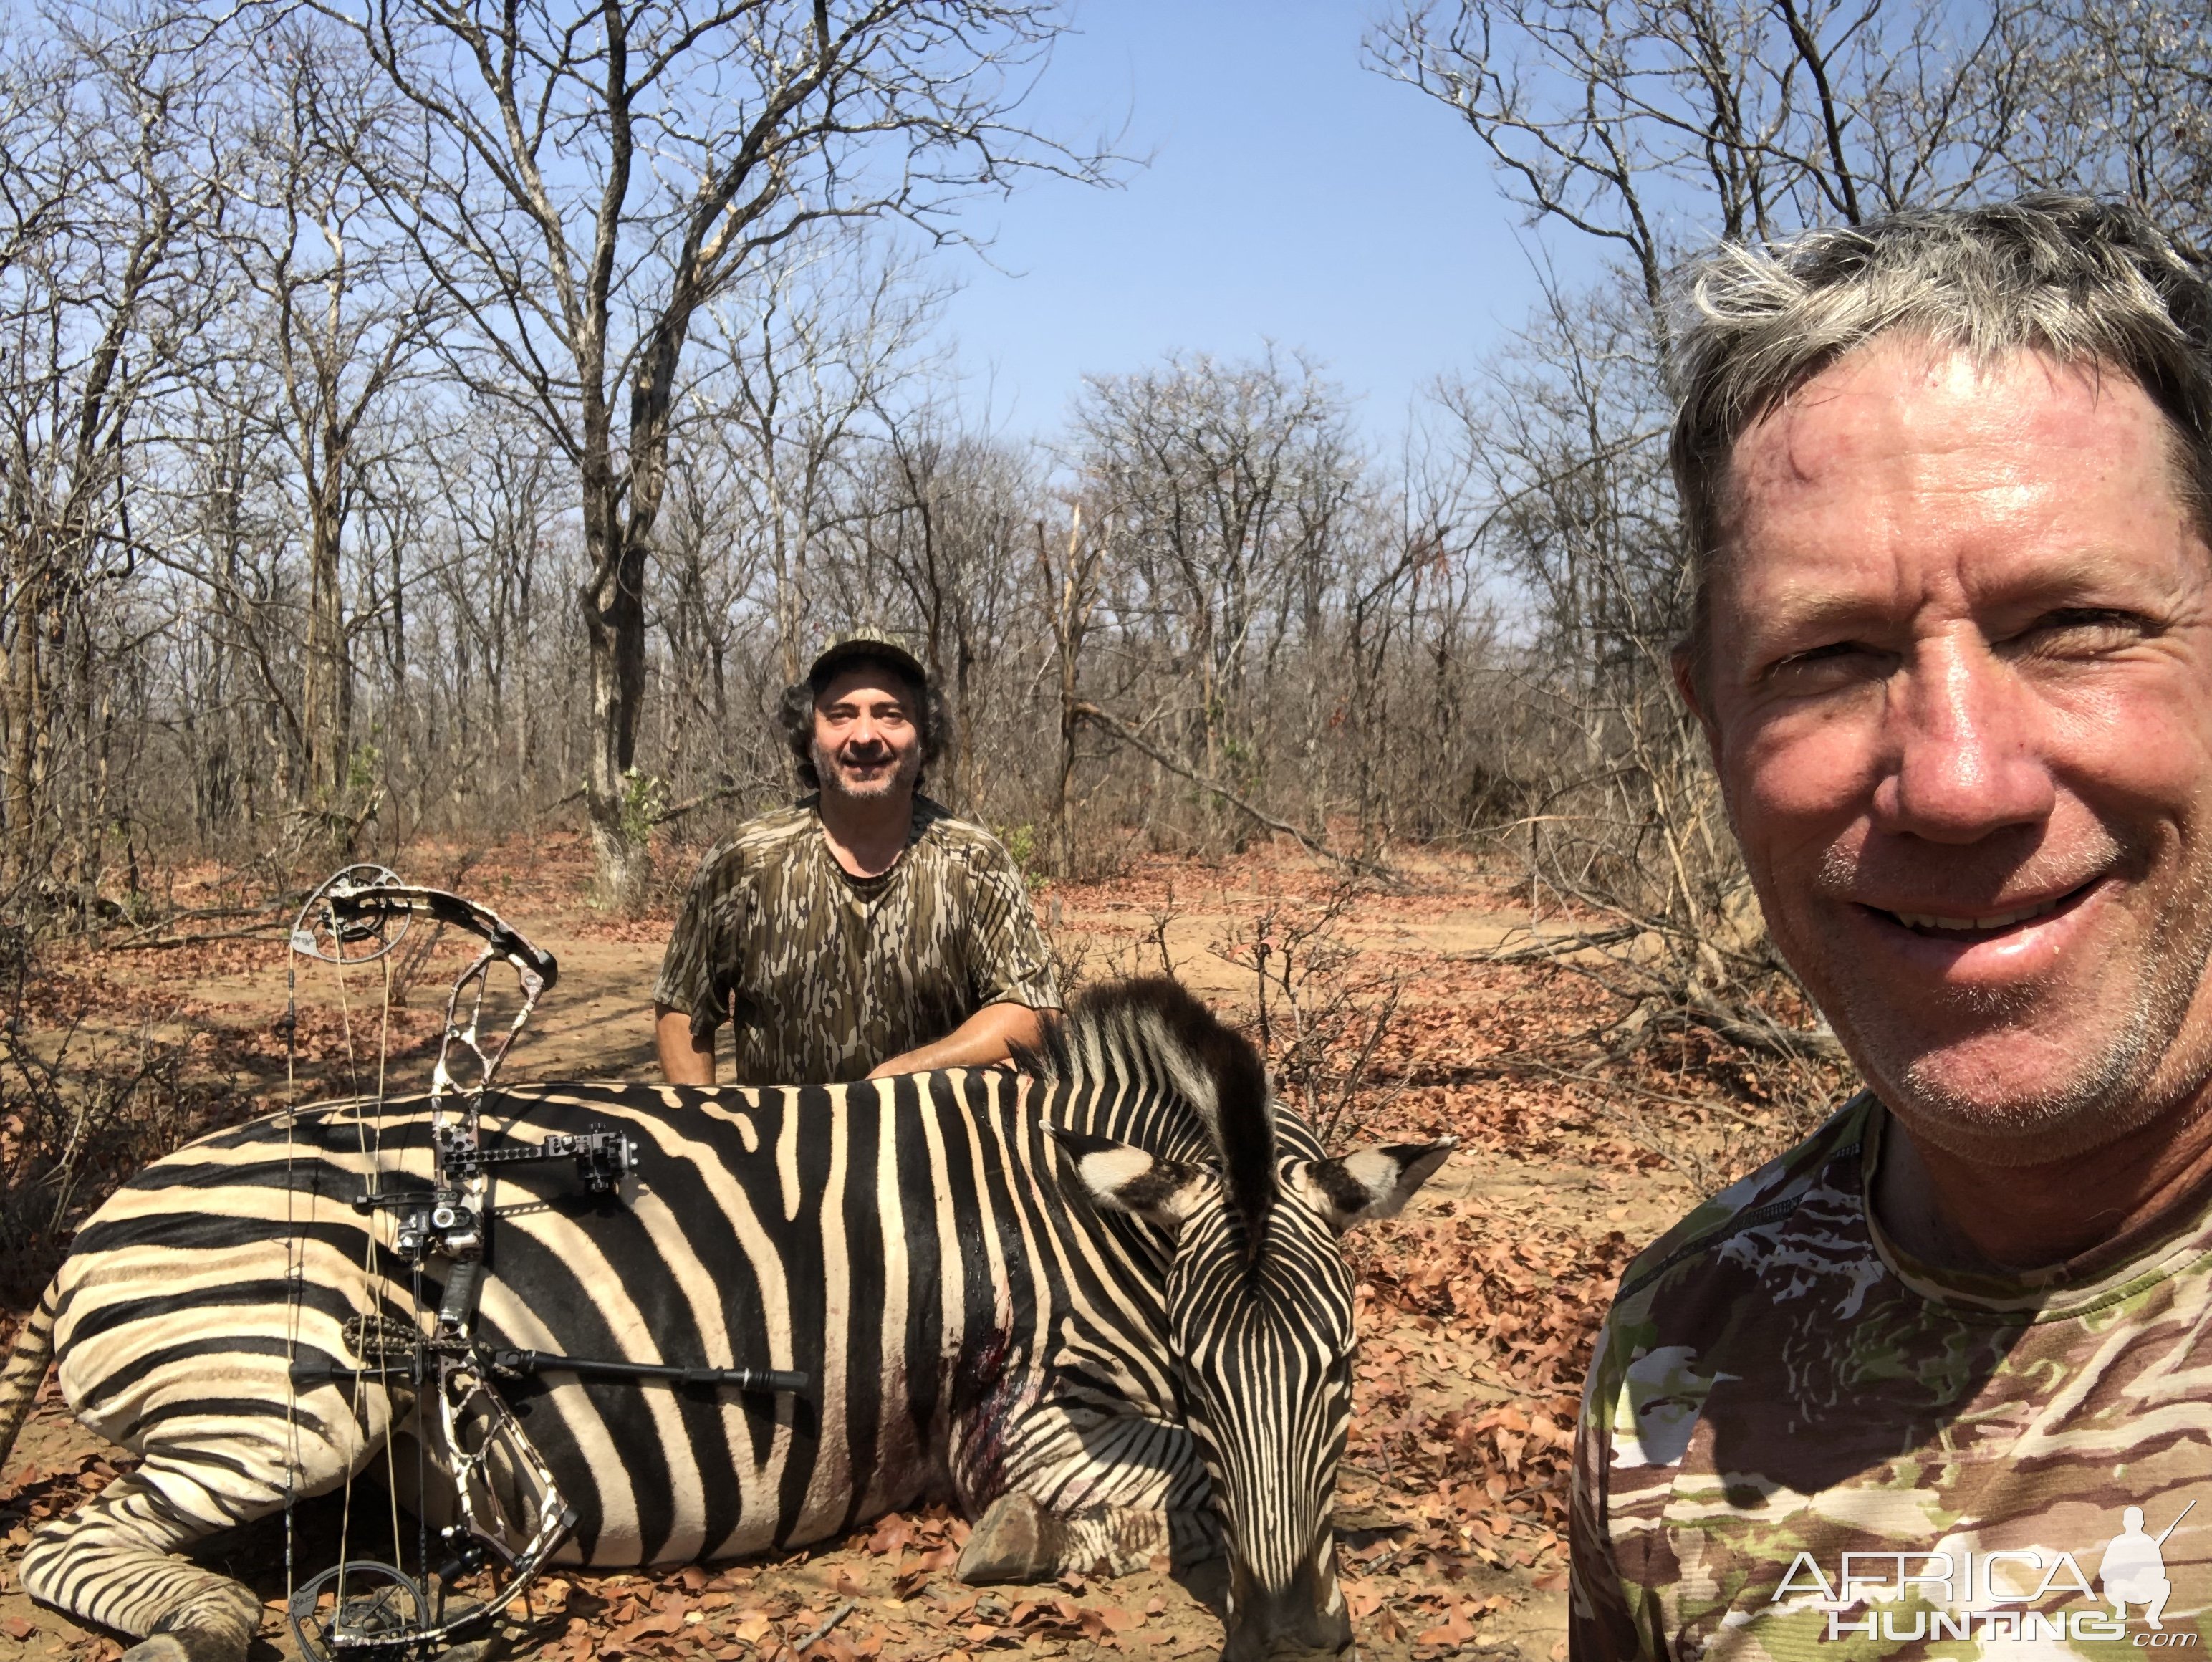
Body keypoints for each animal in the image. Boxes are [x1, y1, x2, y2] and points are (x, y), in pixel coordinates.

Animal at [0, 982, 1451, 1655]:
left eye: (1341, 1373)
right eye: (1200, 1379)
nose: (1292, 1640)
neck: (1072, 1206)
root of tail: (83, 1236)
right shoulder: (1026, 1412)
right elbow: (1182, 1491)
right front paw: (1026, 1539)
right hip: (292, 1398)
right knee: (72, 1547)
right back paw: (206, 1620)